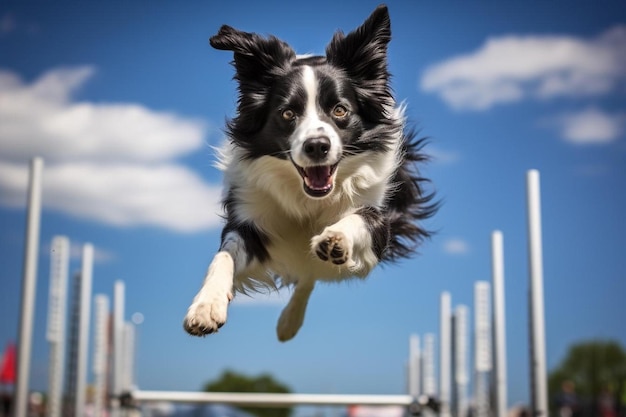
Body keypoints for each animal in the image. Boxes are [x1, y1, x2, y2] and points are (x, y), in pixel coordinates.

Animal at [182, 4, 434, 342]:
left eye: (340, 110)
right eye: (288, 113)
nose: (317, 146)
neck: (307, 200)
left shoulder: (379, 221)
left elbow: (359, 218)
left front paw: (336, 238)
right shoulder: (250, 216)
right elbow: (224, 255)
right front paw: (206, 306)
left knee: (311, 273)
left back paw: (290, 319)